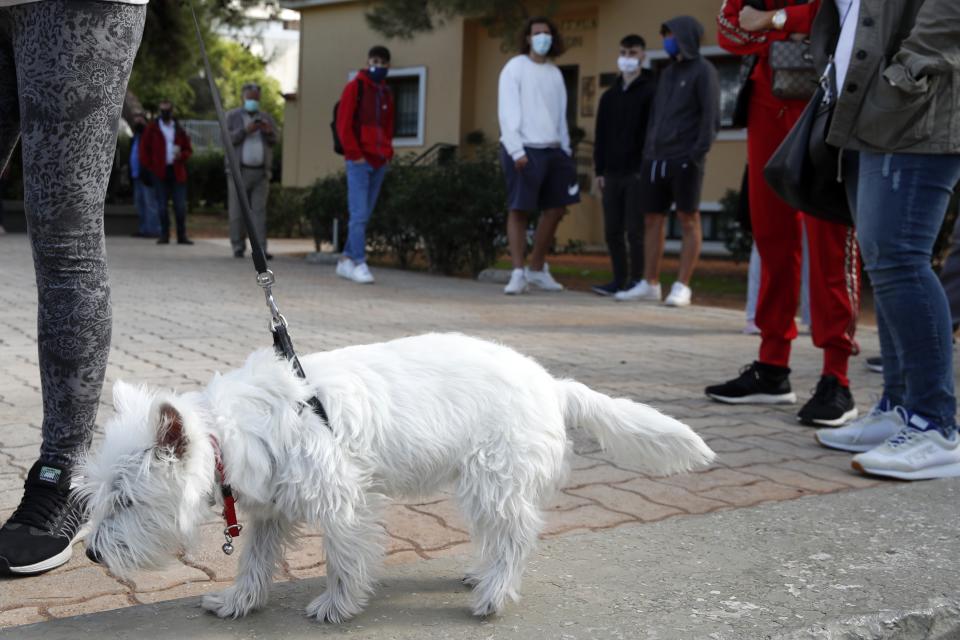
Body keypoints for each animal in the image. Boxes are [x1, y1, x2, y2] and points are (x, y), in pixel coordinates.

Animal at [80, 332, 712, 624]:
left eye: (126, 501)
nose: (90, 555)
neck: (229, 433)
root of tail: (553, 386)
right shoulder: (275, 512)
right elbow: (254, 561)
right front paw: (238, 602)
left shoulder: (342, 503)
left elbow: (343, 558)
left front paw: (337, 606)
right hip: (484, 484)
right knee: (501, 535)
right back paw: (481, 576)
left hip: (494, 479)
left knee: (515, 537)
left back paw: (493, 595)